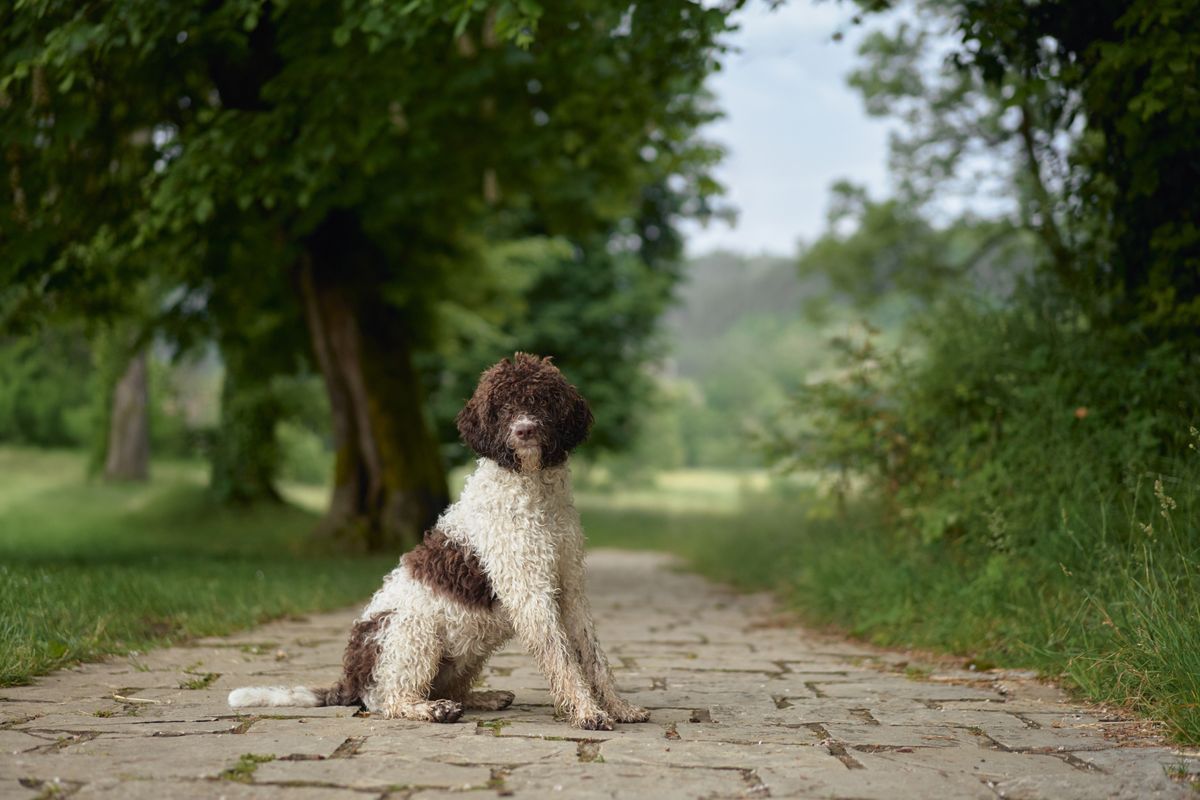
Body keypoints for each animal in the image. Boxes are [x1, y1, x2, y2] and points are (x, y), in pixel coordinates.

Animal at [229, 352, 652, 729]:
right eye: (501, 407)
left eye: (543, 400)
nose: (524, 430)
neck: (534, 494)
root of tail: (350, 678)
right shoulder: (531, 593)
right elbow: (562, 657)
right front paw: (587, 712)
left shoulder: (570, 588)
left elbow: (593, 655)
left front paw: (618, 707)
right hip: (413, 631)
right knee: (390, 701)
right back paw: (434, 710)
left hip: (465, 653)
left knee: (441, 689)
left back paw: (484, 697)